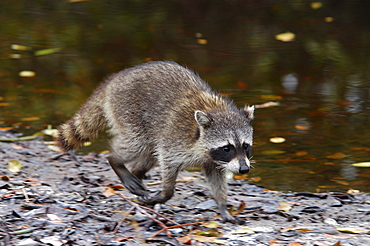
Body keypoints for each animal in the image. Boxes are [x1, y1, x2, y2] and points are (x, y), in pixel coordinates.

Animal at [58, 60, 254, 222]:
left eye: (245, 146)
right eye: (227, 148)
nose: (244, 169)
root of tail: (115, 79)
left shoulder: (214, 160)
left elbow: (216, 179)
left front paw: (223, 205)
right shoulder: (175, 139)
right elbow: (167, 163)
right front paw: (166, 193)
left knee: (149, 154)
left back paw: (136, 173)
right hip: (129, 112)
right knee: (135, 145)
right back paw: (116, 161)